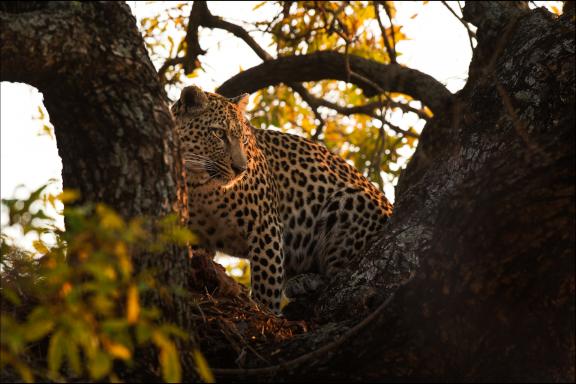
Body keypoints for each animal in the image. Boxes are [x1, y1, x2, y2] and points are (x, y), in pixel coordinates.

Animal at [170, 85, 392, 314]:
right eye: (219, 133)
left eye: (244, 139)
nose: (241, 169)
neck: (199, 184)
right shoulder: (197, 235)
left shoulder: (264, 225)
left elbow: (267, 282)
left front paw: (265, 310)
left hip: (348, 202)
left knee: (340, 273)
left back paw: (307, 281)